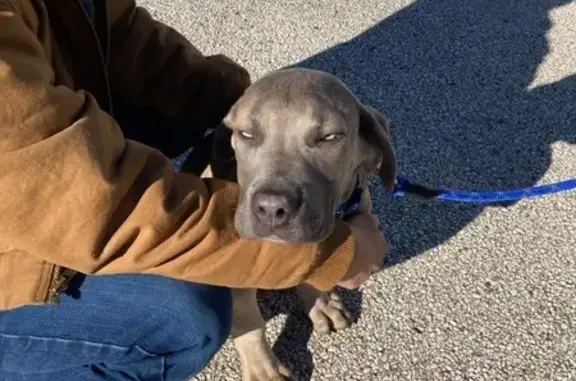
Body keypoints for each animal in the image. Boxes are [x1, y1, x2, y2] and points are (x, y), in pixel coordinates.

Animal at [202, 68, 396, 380]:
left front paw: (321, 304)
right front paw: (263, 370)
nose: (271, 208)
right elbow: (249, 322)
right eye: (246, 134)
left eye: (329, 137)